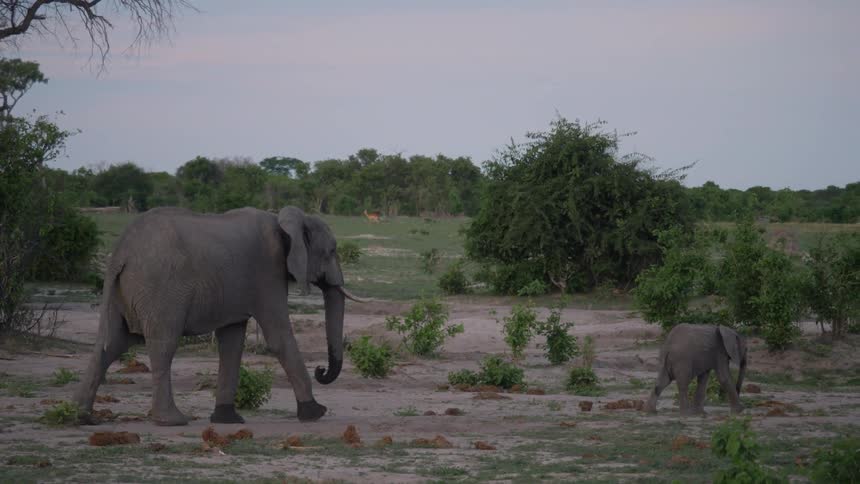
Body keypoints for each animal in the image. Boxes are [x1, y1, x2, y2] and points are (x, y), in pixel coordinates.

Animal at [73, 206, 362, 426]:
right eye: (332, 251)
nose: (321, 370)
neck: (285, 222)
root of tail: (121, 251)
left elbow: (232, 343)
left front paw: (227, 419)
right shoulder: (267, 274)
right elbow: (278, 338)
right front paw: (315, 412)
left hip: (125, 291)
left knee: (111, 344)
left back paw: (83, 418)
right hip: (161, 291)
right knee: (162, 345)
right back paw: (172, 421)